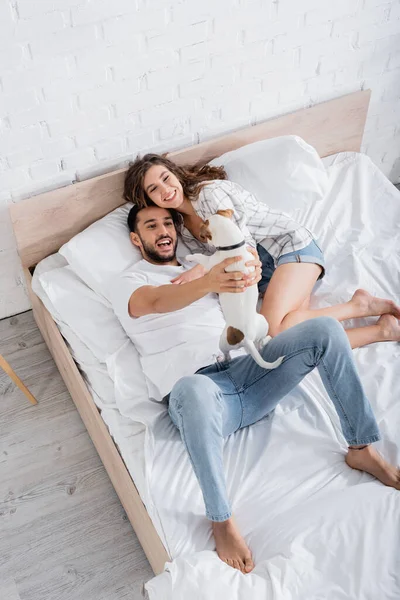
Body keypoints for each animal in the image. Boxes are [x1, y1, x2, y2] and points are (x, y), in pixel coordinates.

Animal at [187, 211, 284, 370]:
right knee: (260, 344)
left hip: (223, 341)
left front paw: (190, 256)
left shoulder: (212, 263)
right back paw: (267, 339)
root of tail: (246, 339)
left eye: (206, 236)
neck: (234, 248)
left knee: (228, 355)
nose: (207, 243)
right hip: (263, 323)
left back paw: (222, 359)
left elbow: (201, 258)